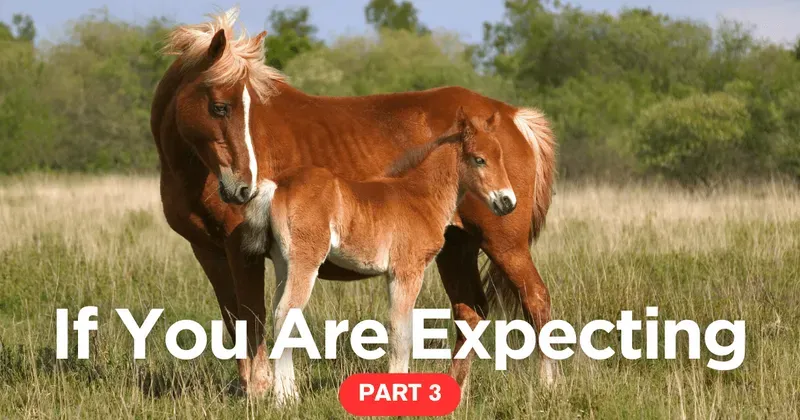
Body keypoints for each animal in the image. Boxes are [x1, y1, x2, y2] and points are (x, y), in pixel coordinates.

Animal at [243, 107, 514, 403]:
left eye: (501, 156)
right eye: (479, 159)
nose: (507, 202)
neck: (420, 197)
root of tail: (278, 186)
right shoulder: (406, 272)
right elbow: (401, 332)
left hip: (284, 263)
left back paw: (289, 392)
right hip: (305, 261)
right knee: (285, 313)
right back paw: (285, 400)